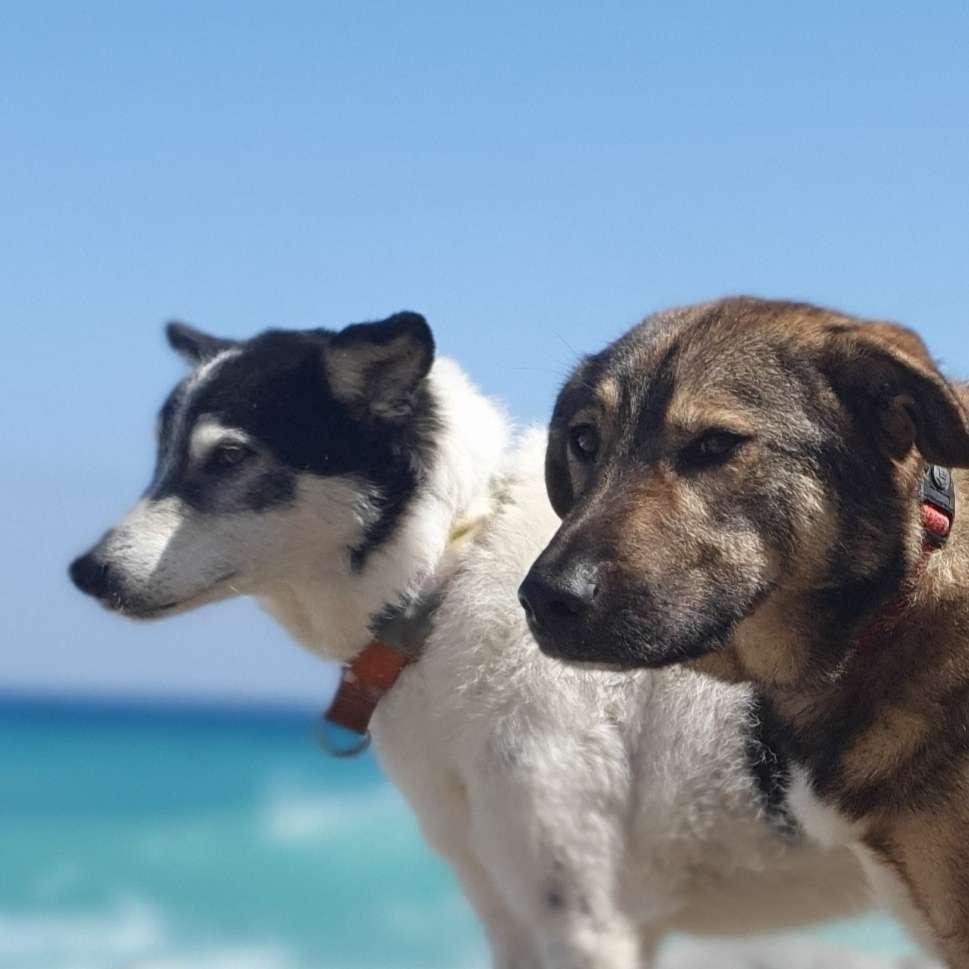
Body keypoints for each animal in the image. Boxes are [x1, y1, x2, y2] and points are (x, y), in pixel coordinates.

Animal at [72, 316, 864, 968]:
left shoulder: (583, 922)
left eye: (229, 458)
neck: (447, 570)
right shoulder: (508, 908)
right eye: (162, 455)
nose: (86, 572)